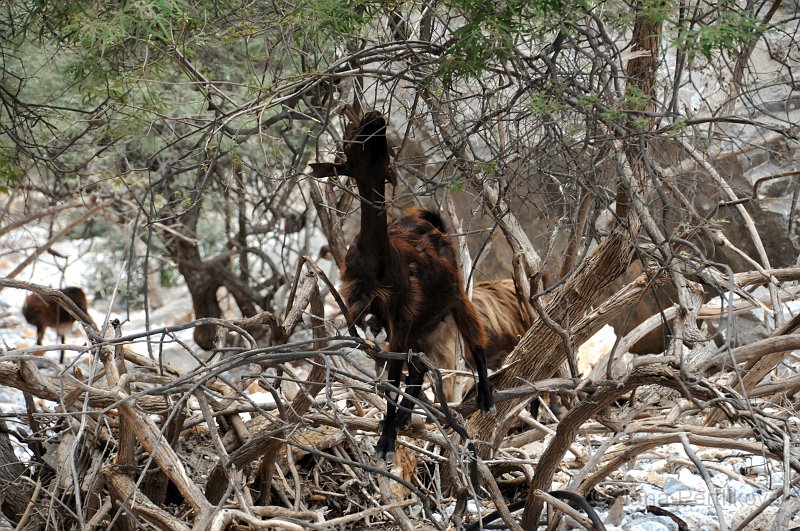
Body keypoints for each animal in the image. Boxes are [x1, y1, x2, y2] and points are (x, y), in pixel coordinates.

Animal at [310, 111, 494, 462]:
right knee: (419, 369)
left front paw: (386, 442)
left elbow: (395, 376)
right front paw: (388, 431)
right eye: (352, 144)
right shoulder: (360, 304)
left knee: (475, 341)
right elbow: (379, 359)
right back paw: (403, 418)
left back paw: (486, 399)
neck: (376, 261)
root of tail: (434, 225)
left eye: (383, 156)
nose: (375, 118)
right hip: (423, 324)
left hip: (455, 299)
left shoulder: (402, 315)